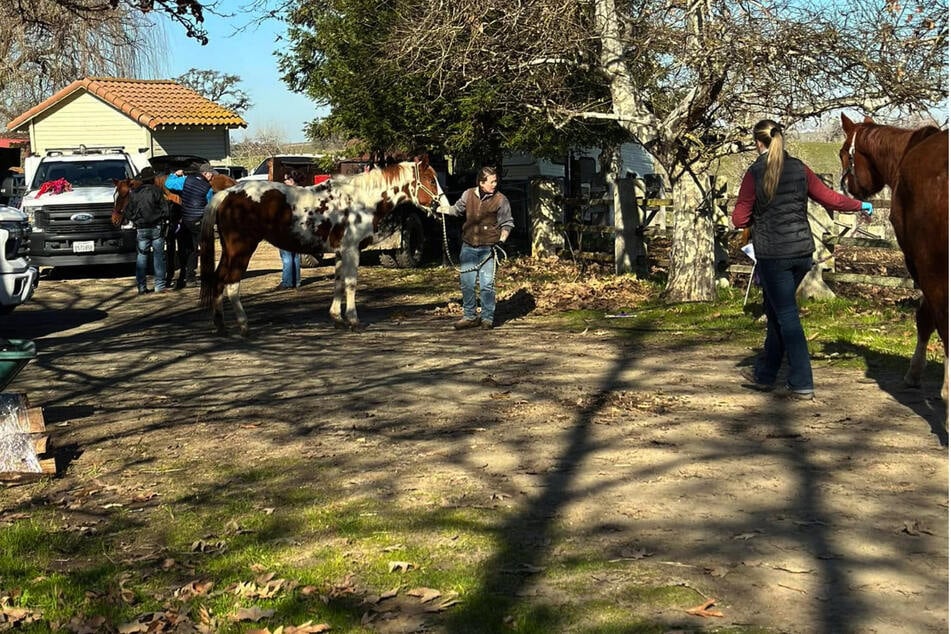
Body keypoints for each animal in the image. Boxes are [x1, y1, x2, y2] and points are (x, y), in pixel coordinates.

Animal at [198, 154, 450, 336]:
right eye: (430, 180)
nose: (444, 206)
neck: (360, 200)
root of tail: (227, 193)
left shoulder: (340, 252)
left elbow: (338, 283)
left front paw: (337, 318)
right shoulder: (351, 250)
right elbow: (350, 283)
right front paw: (354, 320)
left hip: (229, 251)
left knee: (218, 280)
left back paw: (220, 325)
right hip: (242, 249)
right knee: (232, 284)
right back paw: (243, 325)